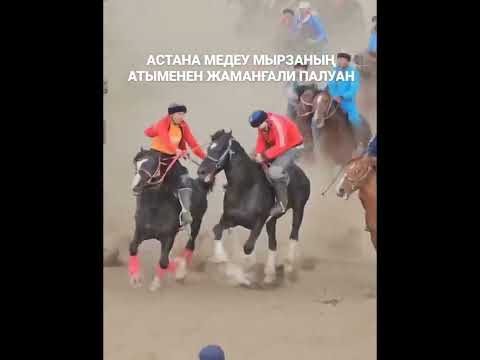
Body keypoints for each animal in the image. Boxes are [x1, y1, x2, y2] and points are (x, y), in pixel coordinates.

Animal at [128, 148, 213, 292]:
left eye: (153, 165)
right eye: (137, 164)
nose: (136, 187)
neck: (155, 207)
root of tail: (199, 183)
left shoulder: (168, 237)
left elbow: (163, 262)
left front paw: (155, 284)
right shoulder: (140, 231)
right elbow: (133, 248)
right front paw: (135, 279)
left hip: (196, 223)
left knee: (190, 245)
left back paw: (181, 272)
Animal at [198, 129, 312, 284]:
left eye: (220, 149)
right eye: (209, 148)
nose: (201, 171)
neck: (246, 187)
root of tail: (302, 174)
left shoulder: (259, 221)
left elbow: (248, 247)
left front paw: (246, 272)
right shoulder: (230, 218)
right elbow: (217, 230)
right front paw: (221, 258)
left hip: (299, 209)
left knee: (294, 233)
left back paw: (288, 266)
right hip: (272, 221)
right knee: (272, 242)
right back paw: (270, 274)